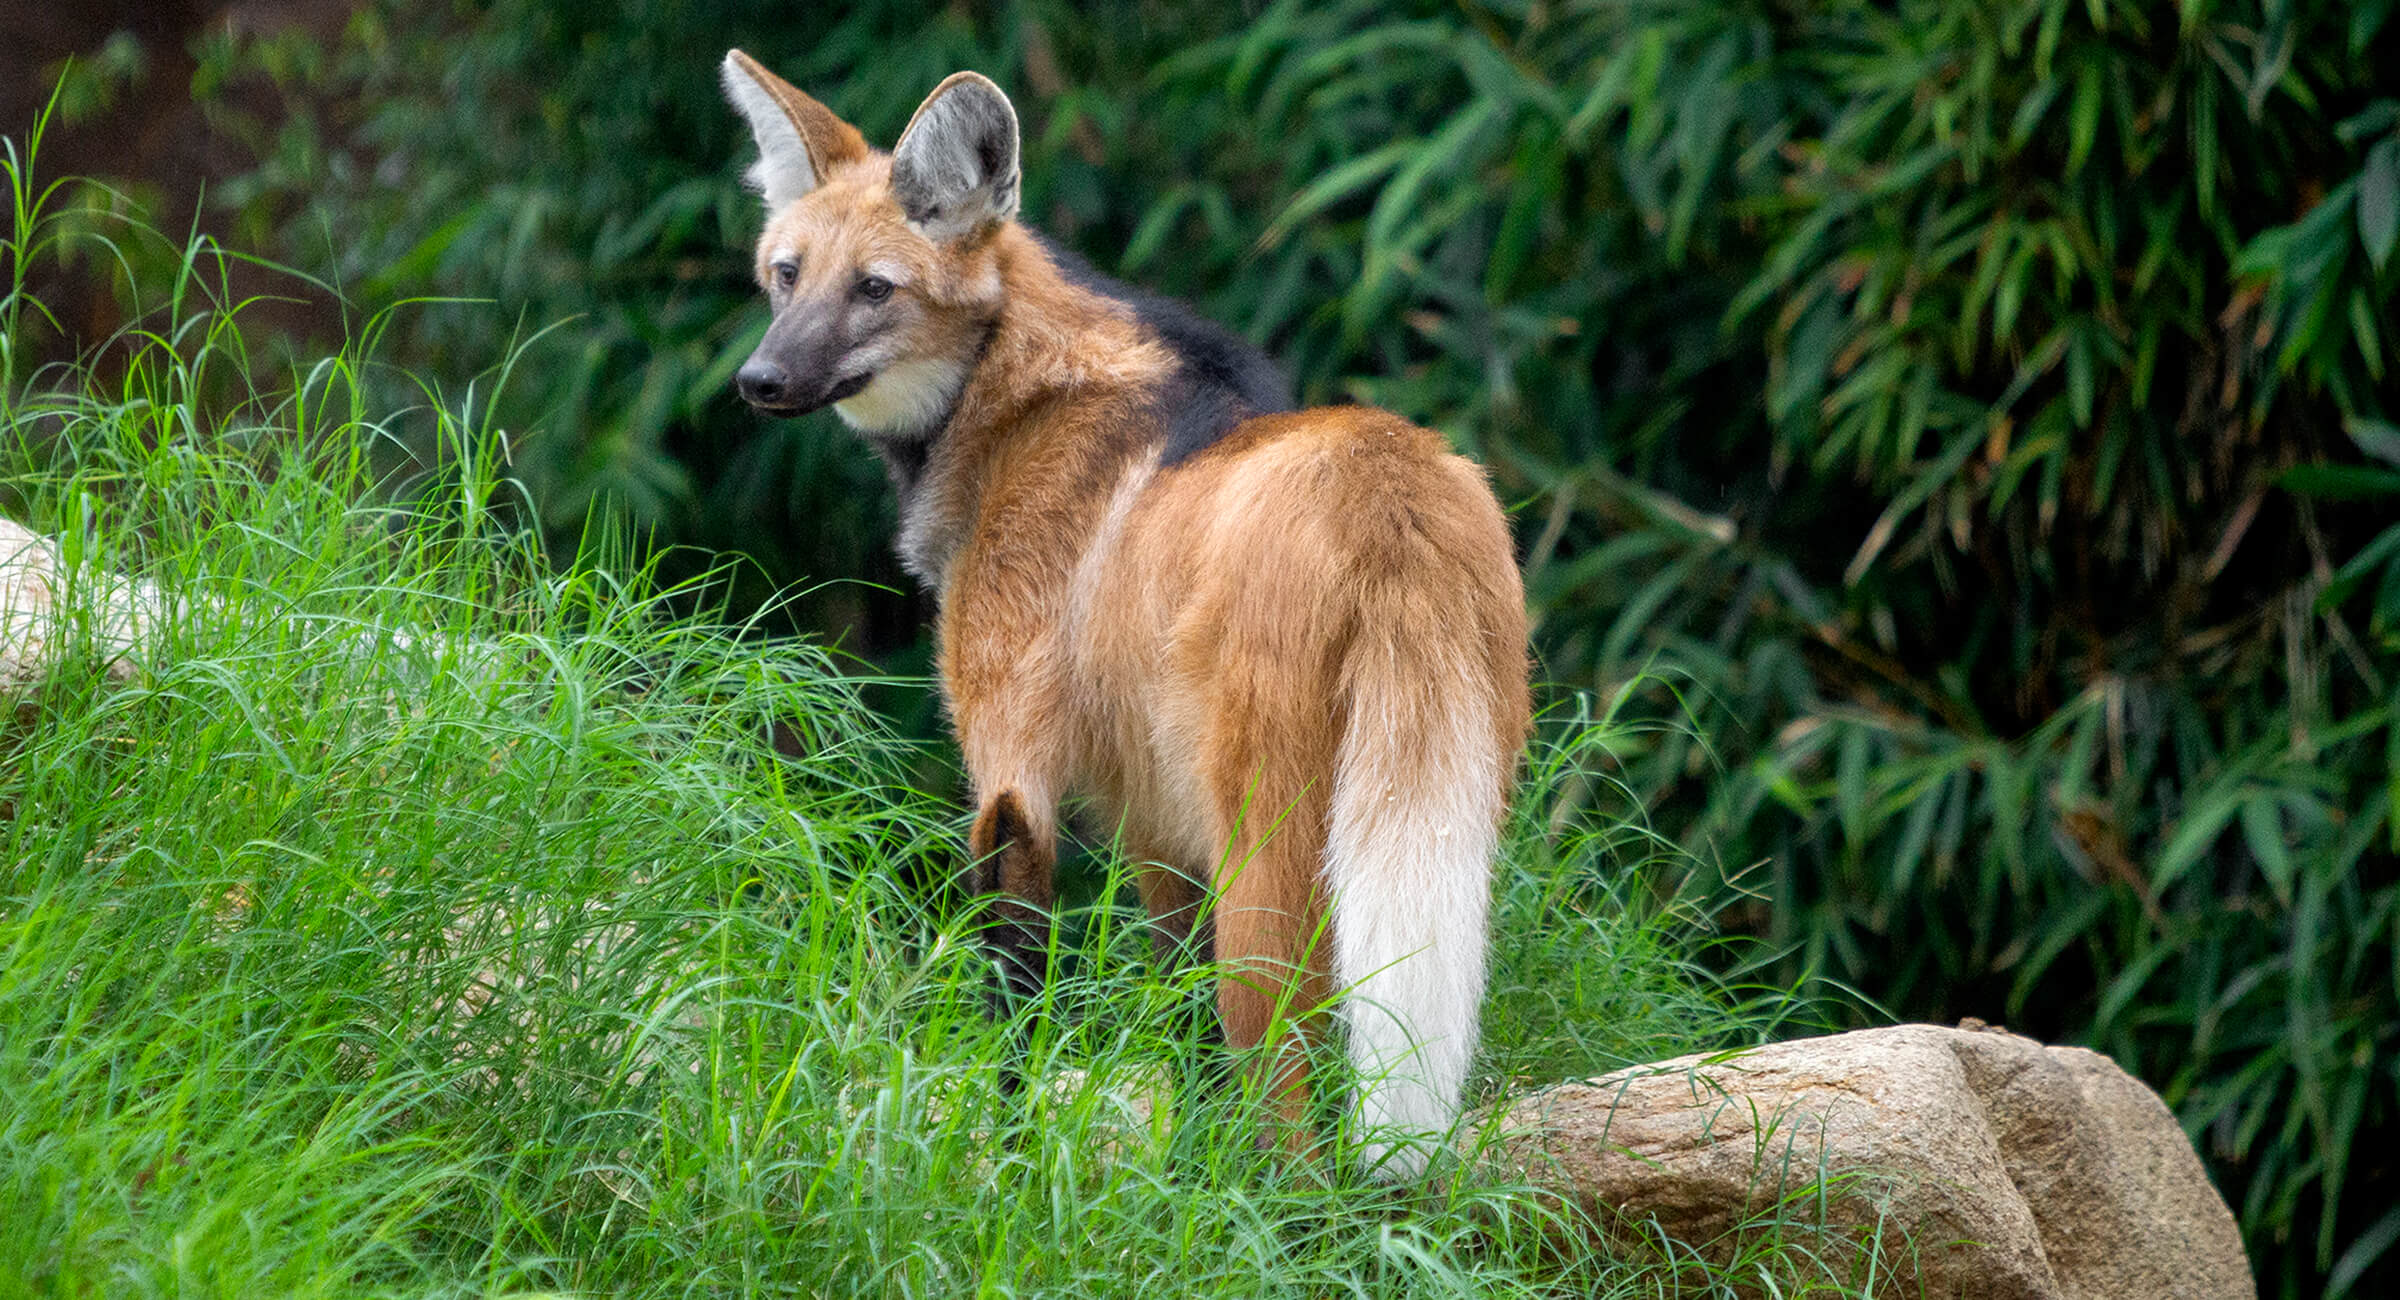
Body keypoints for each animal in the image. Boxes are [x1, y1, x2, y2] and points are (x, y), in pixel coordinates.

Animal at [720, 50, 1526, 1175]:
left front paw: (1003, 1171)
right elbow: (1181, 1035)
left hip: (1273, 845)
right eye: (787, 275)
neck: (1012, 403)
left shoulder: (1013, 772)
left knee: (1284, 1082)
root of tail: (1393, 495)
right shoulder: (1155, 824)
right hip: (1449, 806)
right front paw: (1177, 1186)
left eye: (874, 289)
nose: (760, 380)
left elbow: (1013, 1009)